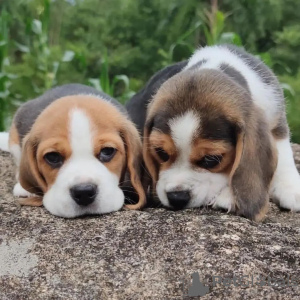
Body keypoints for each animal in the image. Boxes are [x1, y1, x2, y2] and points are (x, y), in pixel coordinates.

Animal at [126, 45, 300, 223]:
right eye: (161, 153)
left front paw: (291, 188)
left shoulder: (276, 115)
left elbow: (283, 152)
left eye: (211, 159)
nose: (177, 197)